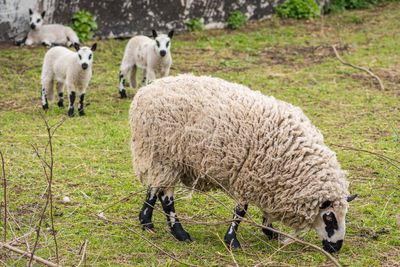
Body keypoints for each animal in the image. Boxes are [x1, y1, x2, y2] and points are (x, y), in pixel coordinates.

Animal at [129, 74, 356, 253]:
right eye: (329, 218)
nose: (336, 248)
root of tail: (146, 91)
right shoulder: (249, 175)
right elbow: (241, 211)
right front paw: (232, 241)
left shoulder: (268, 179)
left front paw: (270, 231)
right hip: (167, 156)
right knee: (166, 197)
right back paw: (179, 232)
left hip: (158, 156)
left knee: (154, 186)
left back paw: (146, 221)